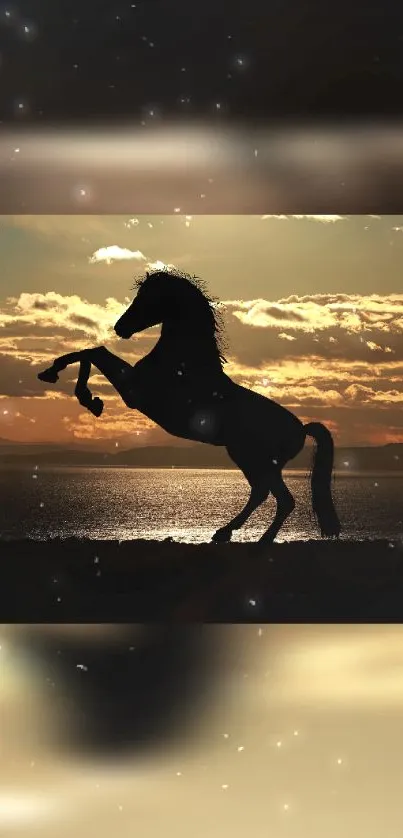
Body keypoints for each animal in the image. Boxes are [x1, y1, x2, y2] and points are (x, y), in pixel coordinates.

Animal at [37, 266, 340, 548]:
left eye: (148, 297)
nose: (120, 328)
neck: (183, 361)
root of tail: (301, 429)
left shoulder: (134, 391)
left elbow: (94, 352)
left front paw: (84, 395)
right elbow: (90, 352)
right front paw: (66, 383)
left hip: (256, 459)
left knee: (279, 498)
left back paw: (254, 539)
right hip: (248, 458)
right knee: (263, 493)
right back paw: (226, 533)